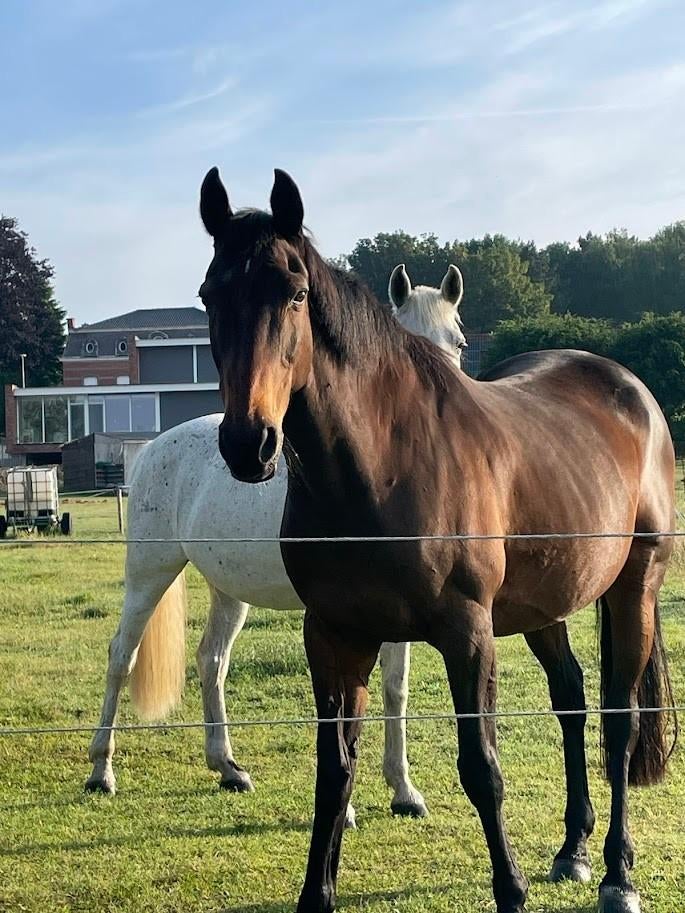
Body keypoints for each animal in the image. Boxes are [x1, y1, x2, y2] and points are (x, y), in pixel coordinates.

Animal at [85, 263, 467, 828]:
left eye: (457, 343)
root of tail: (155, 448)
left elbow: (395, 690)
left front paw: (404, 791)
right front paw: (347, 810)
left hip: (228, 589)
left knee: (211, 660)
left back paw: (228, 768)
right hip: (149, 572)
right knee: (121, 655)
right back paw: (100, 771)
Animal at [199, 166, 677, 913]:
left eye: (295, 292)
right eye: (209, 295)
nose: (249, 443)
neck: (381, 466)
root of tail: (630, 388)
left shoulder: (466, 631)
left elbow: (481, 766)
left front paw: (509, 890)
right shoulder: (334, 635)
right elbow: (334, 770)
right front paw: (317, 893)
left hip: (635, 585)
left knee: (620, 717)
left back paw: (616, 873)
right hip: (544, 604)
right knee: (571, 698)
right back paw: (571, 849)